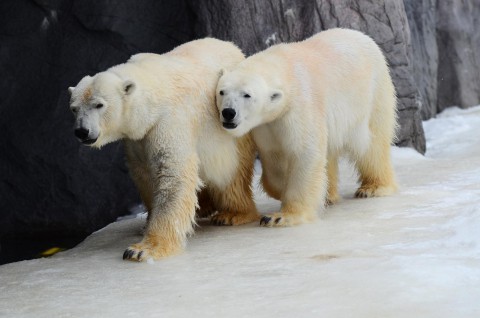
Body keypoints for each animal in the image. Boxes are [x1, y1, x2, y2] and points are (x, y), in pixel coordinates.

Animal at [68, 38, 258, 260]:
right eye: (74, 108)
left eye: (99, 105)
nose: (82, 131)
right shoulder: (137, 139)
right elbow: (144, 175)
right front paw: (146, 225)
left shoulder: (167, 122)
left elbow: (173, 176)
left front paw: (141, 250)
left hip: (233, 128)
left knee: (231, 173)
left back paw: (233, 213)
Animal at [217, 27, 398, 226]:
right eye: (222, 91)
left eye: (247, 95)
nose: (228, 112)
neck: (286, 68)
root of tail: (361, 34)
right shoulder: (267, 125)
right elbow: (274, 157)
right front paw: (284, 189)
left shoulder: (300, 106)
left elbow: (304, 153)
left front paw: (280, 217)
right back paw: (329, 194)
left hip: (373, 93)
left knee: (373, 145)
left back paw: (373, 187)